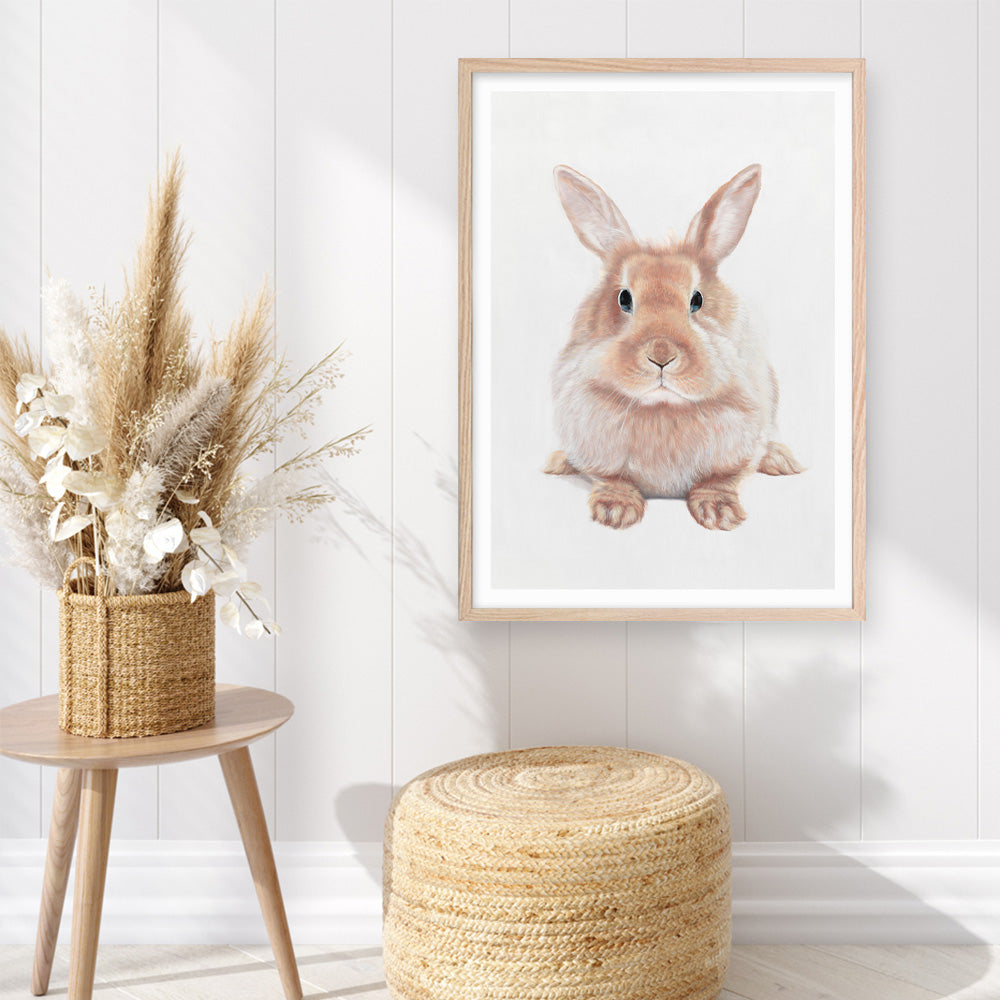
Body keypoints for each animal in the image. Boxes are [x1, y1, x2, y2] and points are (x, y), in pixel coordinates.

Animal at [544, 163, 803, 531]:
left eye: (697, 300)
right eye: (624, 298)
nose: (661, 355)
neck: (662, 408)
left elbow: (720, 479)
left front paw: (720, 514)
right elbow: (611, 479)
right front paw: (615, 511)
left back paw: (782, 460)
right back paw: (557, 462)